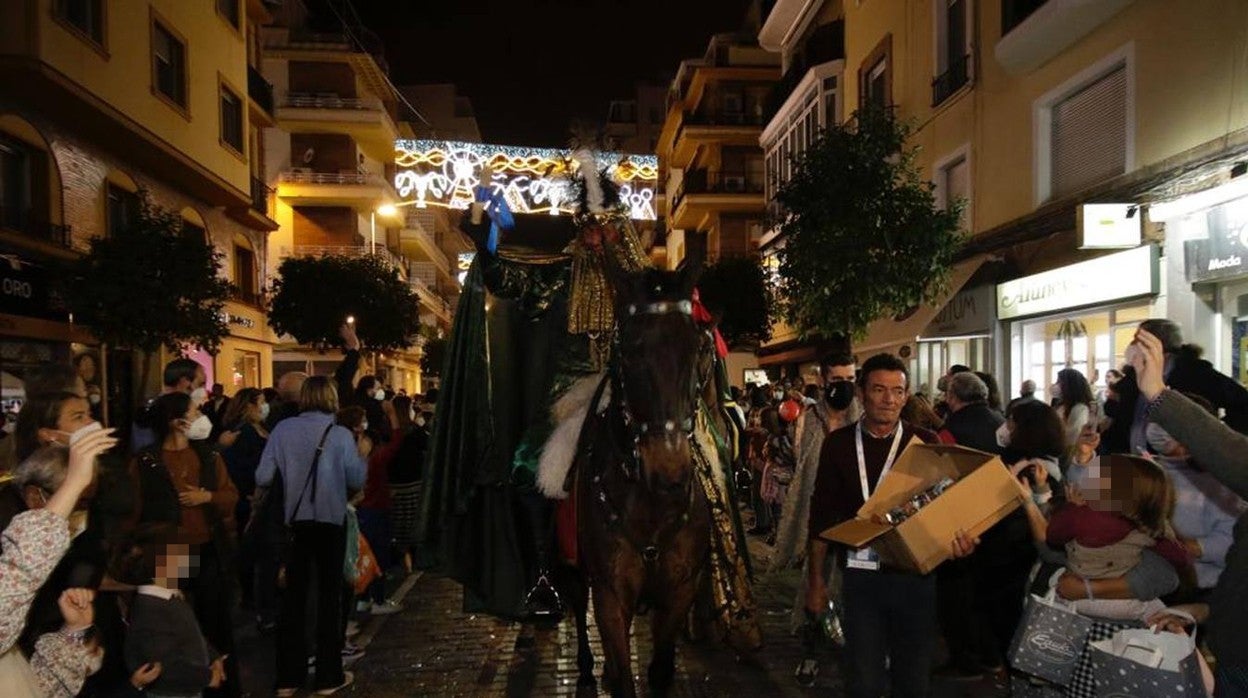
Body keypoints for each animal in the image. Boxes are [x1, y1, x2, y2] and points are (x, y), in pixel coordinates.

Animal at [559, 252, 723, 698]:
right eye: (629, 354)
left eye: (697, 349)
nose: (668, 472)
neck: (650, 509)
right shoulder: (610, 599)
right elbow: (623, 678)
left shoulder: (679, 593)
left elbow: (660, 672)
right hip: (574, 573)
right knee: (576, 606)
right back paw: (585, 672)